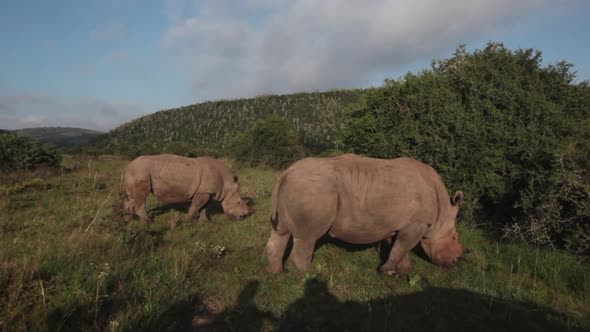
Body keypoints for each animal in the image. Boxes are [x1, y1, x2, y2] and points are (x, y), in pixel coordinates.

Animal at [121, 154, 251, 223]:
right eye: (238, 202)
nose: (244, 217)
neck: (226, 185)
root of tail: (128, 166)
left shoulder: (208, 192)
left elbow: (204, 208)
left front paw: (204, 222)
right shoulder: (203, 192)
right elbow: (196, 206)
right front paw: (189, 221)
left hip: (136, 172)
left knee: (132, 197)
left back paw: (130, 218)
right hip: (140, 171)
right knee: (141, 196)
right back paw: (149, 222)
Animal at [268, 154, 468, 274]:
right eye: (454, 237)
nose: (457, 260)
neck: (442, 209)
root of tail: (287, 172)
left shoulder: (399, 223)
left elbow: (398, 248)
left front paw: (403, 271)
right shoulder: (417, 223)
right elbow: (402, 247)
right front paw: (386, 272)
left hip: (300, 186)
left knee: (281, 231)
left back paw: (278, 273)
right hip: (313, 190)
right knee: (308, 237)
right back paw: (312, 274)